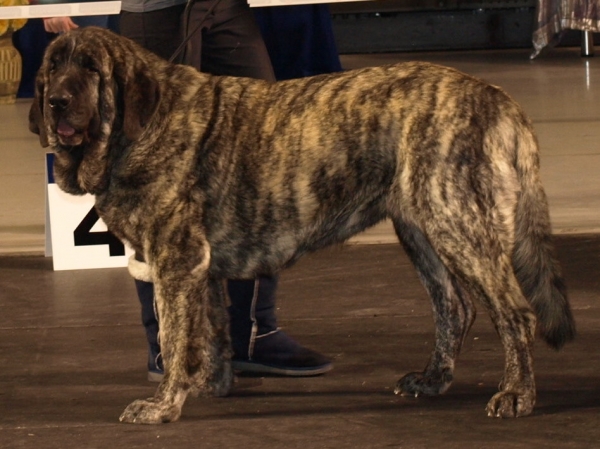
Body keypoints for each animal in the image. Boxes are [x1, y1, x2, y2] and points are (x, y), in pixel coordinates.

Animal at [29, 28, 576, 424]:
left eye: (91, 69)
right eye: (53, 68)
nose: (56, 102)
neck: (138, 126)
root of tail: (499, 98)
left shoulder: (176, 260)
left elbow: (175, 336)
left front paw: (164, 404)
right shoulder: (199, 268)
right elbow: (212, 330)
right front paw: (209, 384)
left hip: (455, 222)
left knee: (514, 314)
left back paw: (515, 394)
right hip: (421, 229)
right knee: (454, 308)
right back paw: (432, 380)